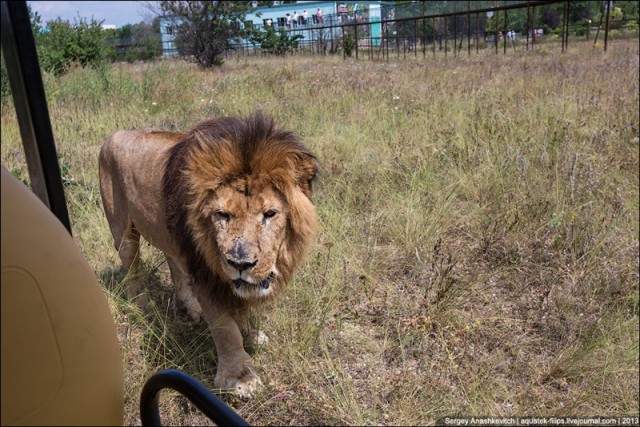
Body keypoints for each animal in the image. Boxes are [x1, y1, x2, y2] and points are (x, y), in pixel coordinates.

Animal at [99, 113, 318, 398]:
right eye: (222, 215)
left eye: (270, 214)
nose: (240, 263)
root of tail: (111, 137)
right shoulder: (205, 273)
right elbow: (226, 330)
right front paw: (240, 378)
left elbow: (242, 308)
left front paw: (252, 335)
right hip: (123, 232)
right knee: (132, 269)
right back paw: (142, 307)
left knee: (174, 265)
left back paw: (192, 308)